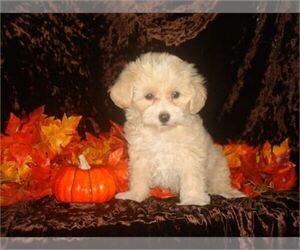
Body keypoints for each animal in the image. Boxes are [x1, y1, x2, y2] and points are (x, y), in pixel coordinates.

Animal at [109, 52, 244, 205]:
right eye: (149, 96)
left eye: (175, 95)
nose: (164, 116)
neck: (162, 133)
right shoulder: (140, 156)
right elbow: (139, 177)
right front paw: (135, 195)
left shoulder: (190, 155)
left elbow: (192, 178)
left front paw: (193, 199)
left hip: (217, 165)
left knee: (220, 182)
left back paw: (229, 192)